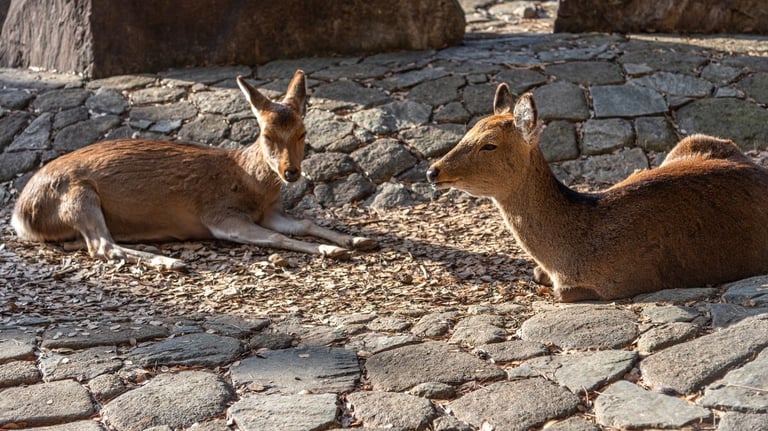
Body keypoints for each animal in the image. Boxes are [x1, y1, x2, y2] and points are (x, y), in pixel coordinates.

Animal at [11, 70, 376, 270]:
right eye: (267, 135)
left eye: (303, 132)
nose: (291, 172)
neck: (252, 185)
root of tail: (20, 215)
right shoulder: (219, 215)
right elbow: (277, 237)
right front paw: (333, 250)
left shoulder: (270, 211)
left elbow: (304, 223)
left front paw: (357, 238)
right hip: (77, 195)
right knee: (101, 246)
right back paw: (172, 262)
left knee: (89, 244)